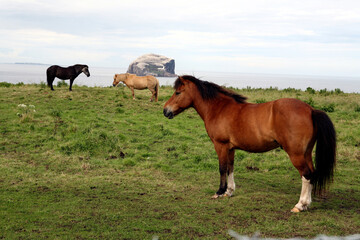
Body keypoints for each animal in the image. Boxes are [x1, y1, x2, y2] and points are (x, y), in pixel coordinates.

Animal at [165, 75, 336, 212]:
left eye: (178, 92)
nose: (165, 111)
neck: (219, 109)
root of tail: (311, 110)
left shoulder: (220, 145)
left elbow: (222, 168)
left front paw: (219, 192)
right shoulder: (231, 148)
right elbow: (230, 168)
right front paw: (229, 192)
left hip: (296, 154)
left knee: (306, 175)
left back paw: (300, 205)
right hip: (306, 152)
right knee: (312, 173)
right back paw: (307, 204)